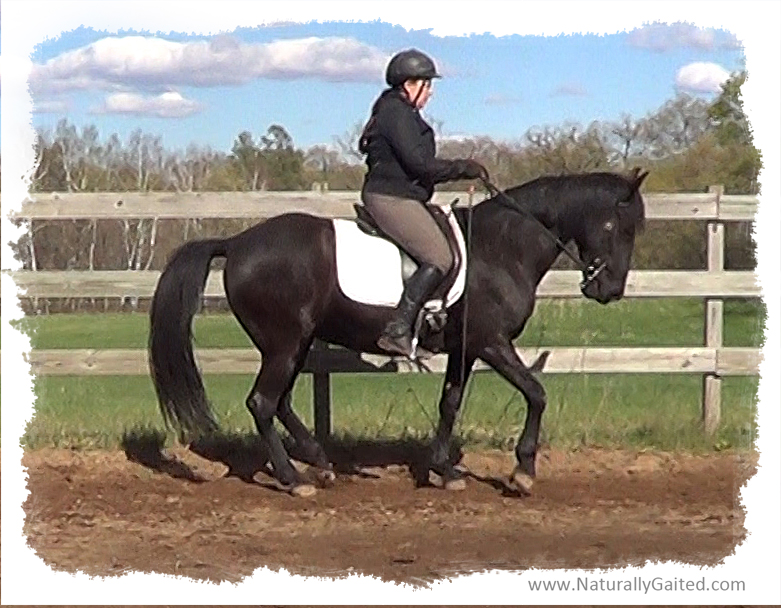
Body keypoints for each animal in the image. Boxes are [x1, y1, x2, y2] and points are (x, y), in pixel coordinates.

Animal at [149, 168, 648, 496]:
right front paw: (522, 473)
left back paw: (321, 466)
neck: (502, 248)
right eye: (614, 225)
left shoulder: (465, 349)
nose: (609, 289)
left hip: (293, 343)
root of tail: (236, 243)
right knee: (263, 403)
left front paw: (443, 471)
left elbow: (450, 403)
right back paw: (295, 481)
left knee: (280, 402)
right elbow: (537, 393)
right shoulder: (492, 343)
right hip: (286, 342)